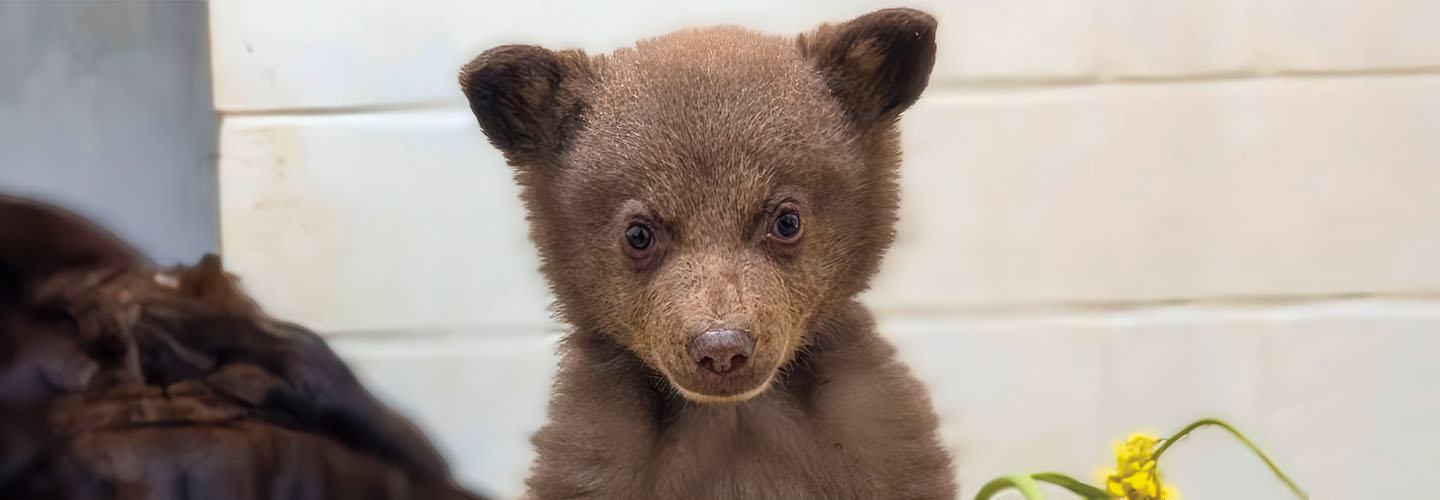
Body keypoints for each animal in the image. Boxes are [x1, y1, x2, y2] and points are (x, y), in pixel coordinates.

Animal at [459, 8, 955, 499]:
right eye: (638, 234)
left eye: (786, 221)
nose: (721, 349)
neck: (732, 415)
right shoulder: (592, 463)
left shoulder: (881, 447)